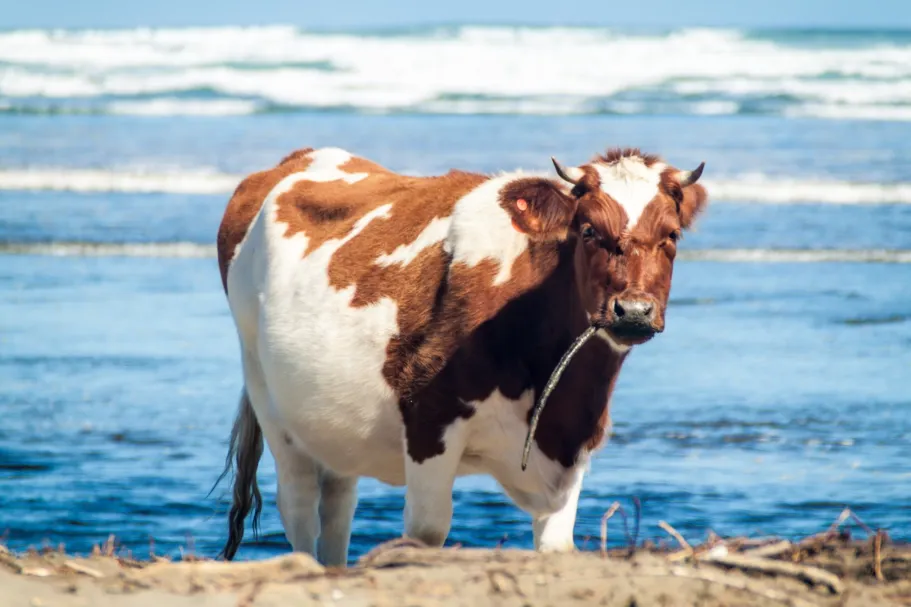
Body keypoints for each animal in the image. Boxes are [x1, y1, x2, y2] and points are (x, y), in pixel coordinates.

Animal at [214, 145, 708, 566]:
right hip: (269, 399)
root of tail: (294, 161)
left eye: (672, 234)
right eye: (588, 230)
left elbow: (557, 544)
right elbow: (426, 531)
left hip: (330, 422)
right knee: (298, 505)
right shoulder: (429, 419)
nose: (634, 311)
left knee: (336, 507)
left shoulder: (573, 444)